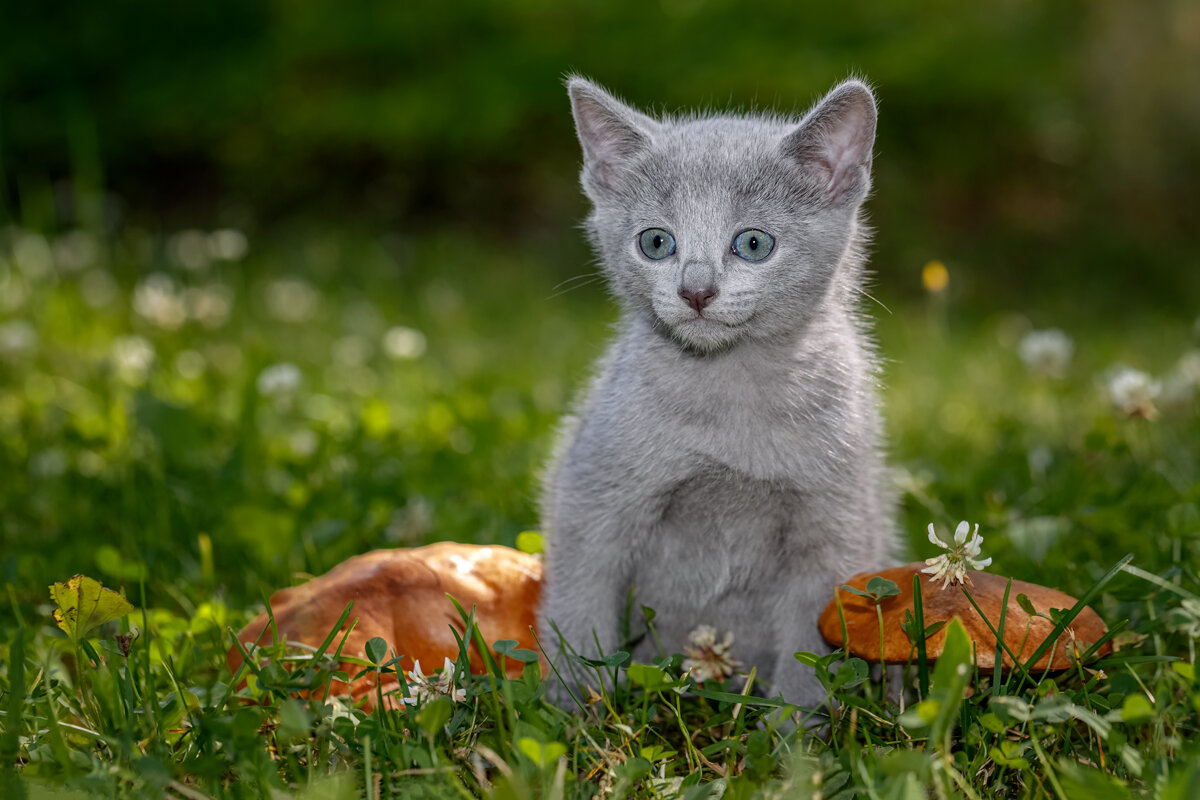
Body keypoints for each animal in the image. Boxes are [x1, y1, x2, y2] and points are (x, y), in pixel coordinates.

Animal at [540, 77, 897, 710]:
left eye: (753, 244)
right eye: (656, 242)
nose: (697, 291)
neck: (732, 393)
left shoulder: (836, 523)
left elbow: (811, 645)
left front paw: (795, 728)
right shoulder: (591, 493)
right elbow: (580, 600)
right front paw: (576, 705)